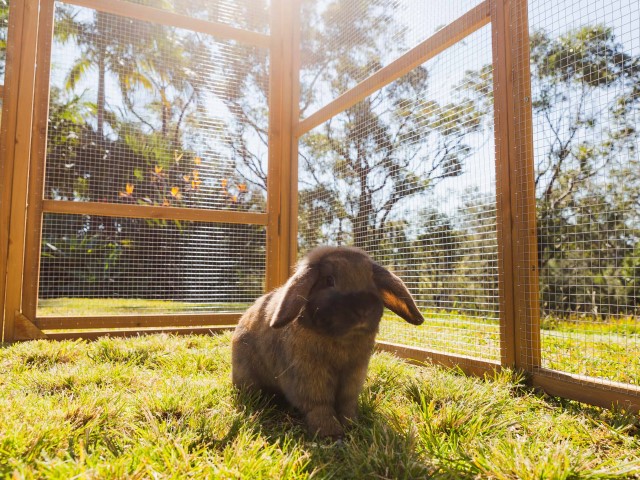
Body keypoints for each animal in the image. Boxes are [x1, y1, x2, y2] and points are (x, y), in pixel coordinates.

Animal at [231, 245, 424, 438]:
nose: (363, 309)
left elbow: (346, 403)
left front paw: (352, 425)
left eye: (371, 280)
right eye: (329, 280)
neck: (342, 339)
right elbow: (319, 404)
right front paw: (330, 433)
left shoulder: (353, 374)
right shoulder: (309, 374)